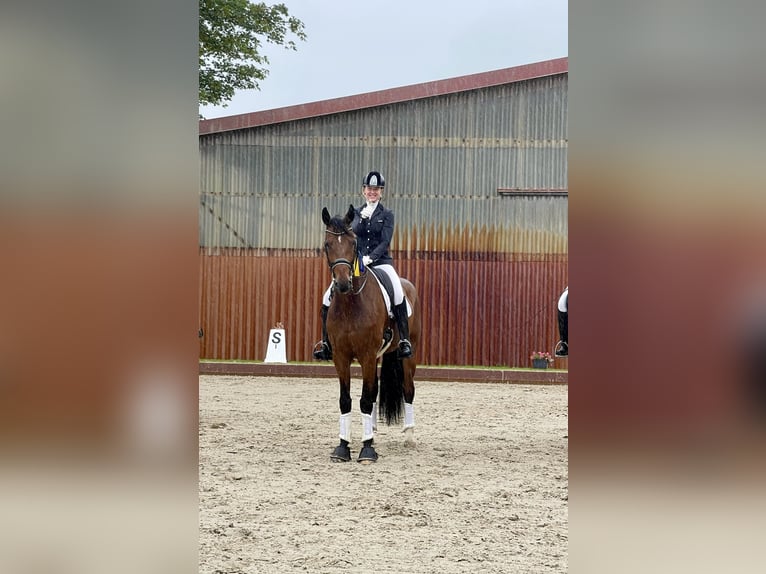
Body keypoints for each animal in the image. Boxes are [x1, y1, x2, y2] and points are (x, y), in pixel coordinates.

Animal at [320, 205, 424, 466]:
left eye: (353, 243)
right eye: (327, 244)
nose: (343, 283)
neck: (350, 303)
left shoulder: (366, 355)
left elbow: (365, 400)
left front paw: (366, 451)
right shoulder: (341, 357)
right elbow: (346, 400)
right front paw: (343, 447)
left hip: (407, 355)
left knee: (408, 389)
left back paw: (409, 437)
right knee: (375, 390)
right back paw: (374, 433)